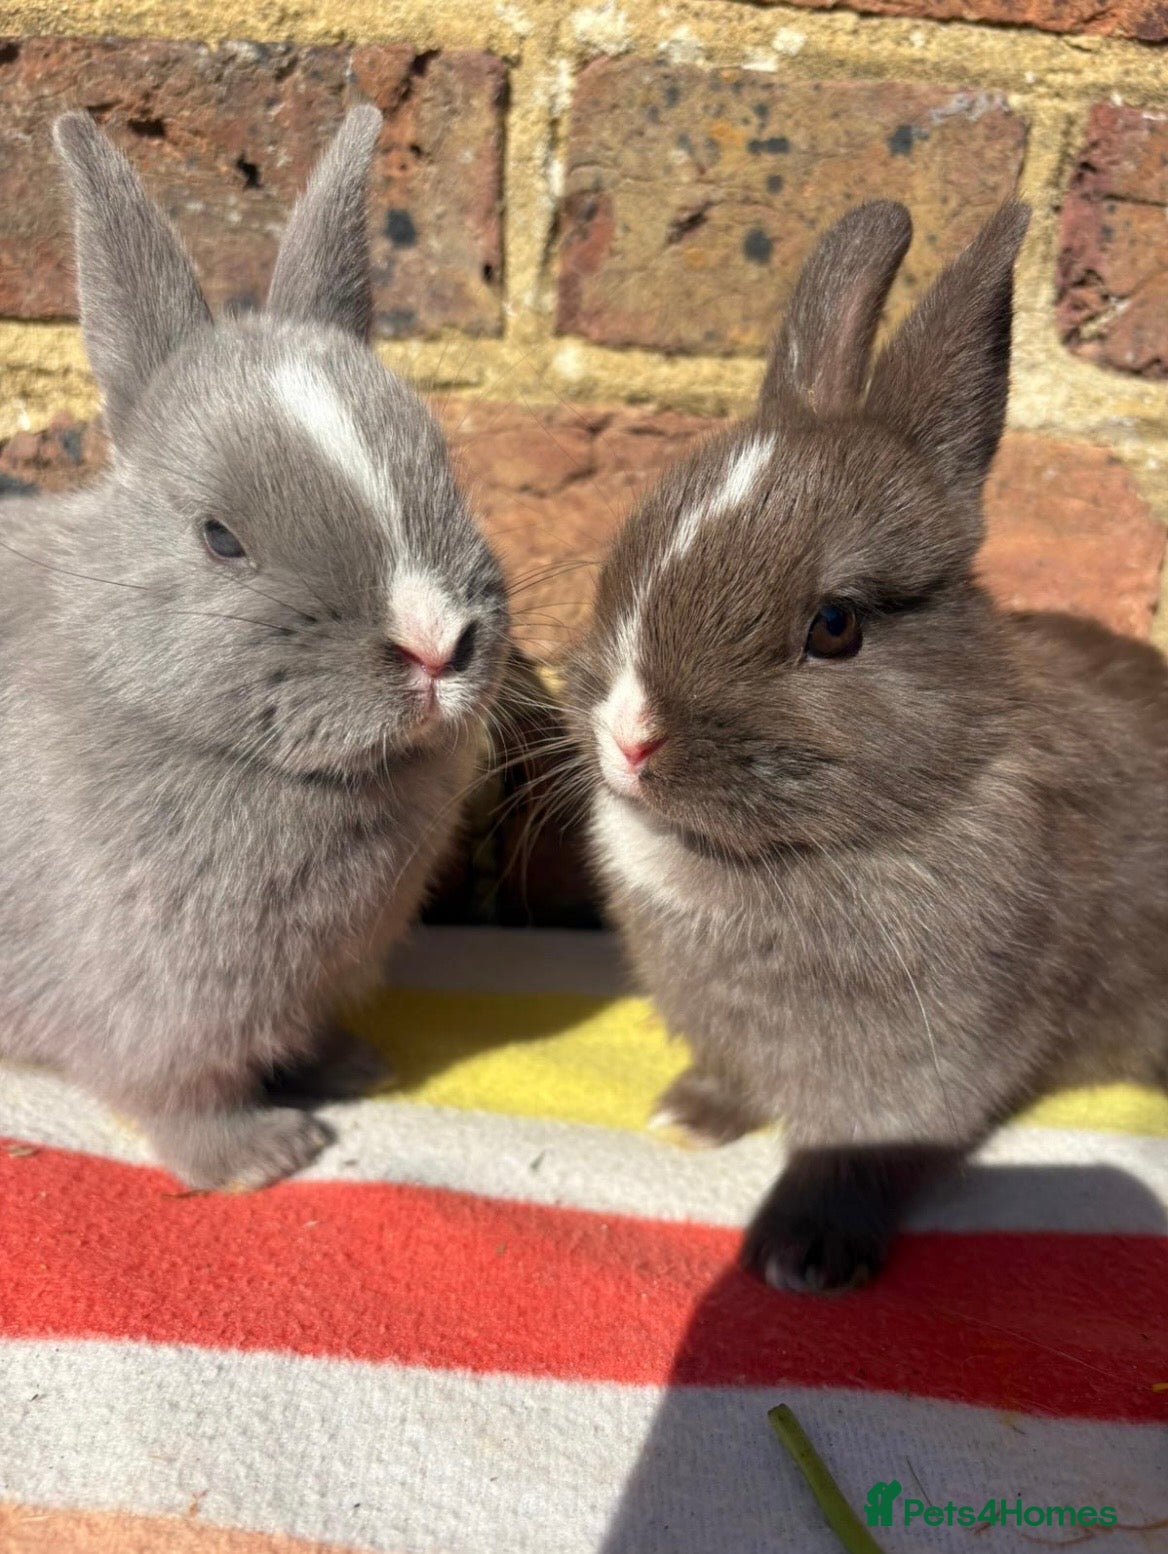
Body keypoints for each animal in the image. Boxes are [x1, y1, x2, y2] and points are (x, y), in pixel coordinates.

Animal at [0, 106, 509, 1189]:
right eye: (219, 538)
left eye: (442, 461)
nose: (434, 644)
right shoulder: (154, 1010)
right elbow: (181, 1096)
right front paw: (262, 1158)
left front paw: (354, 1068)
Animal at [564, 198, 1168, 1293]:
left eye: (836, 626)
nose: (627, 735)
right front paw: (687, 1118)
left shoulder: (918, 1065)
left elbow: (861, 1148)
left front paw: (801, 1253)